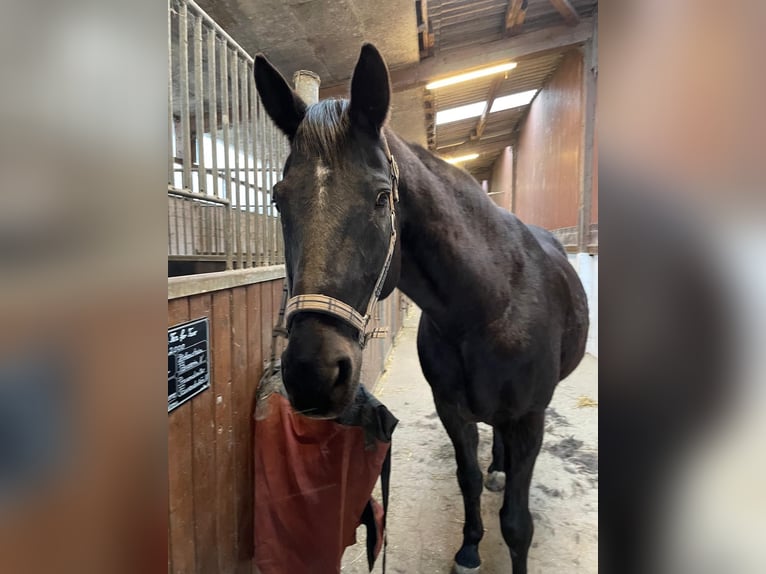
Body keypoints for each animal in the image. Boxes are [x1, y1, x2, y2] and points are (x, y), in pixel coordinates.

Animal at [255, 42, 592, 572]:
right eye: (278, 199)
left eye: (381, 197)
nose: (312, 373)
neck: (488, 310)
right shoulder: (451, 409)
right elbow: (467, 477)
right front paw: (470, 548)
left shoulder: (529, 419)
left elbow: (517, 523)